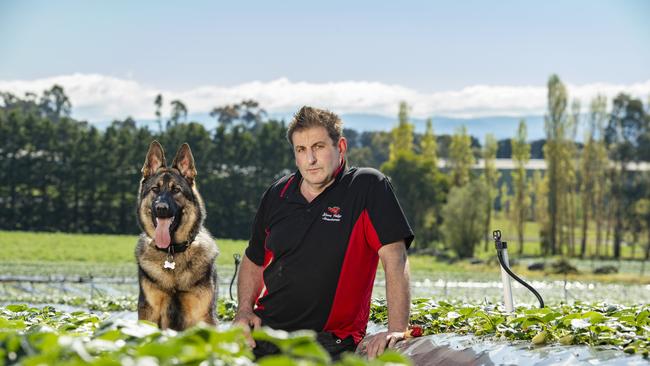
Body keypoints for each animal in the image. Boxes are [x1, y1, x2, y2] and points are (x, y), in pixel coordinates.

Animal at [135, 140, 219, 328]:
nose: (161, 208)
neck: (172, 252)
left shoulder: (203, 315)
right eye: (155, 189)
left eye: (176, 190)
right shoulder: (150, 313)